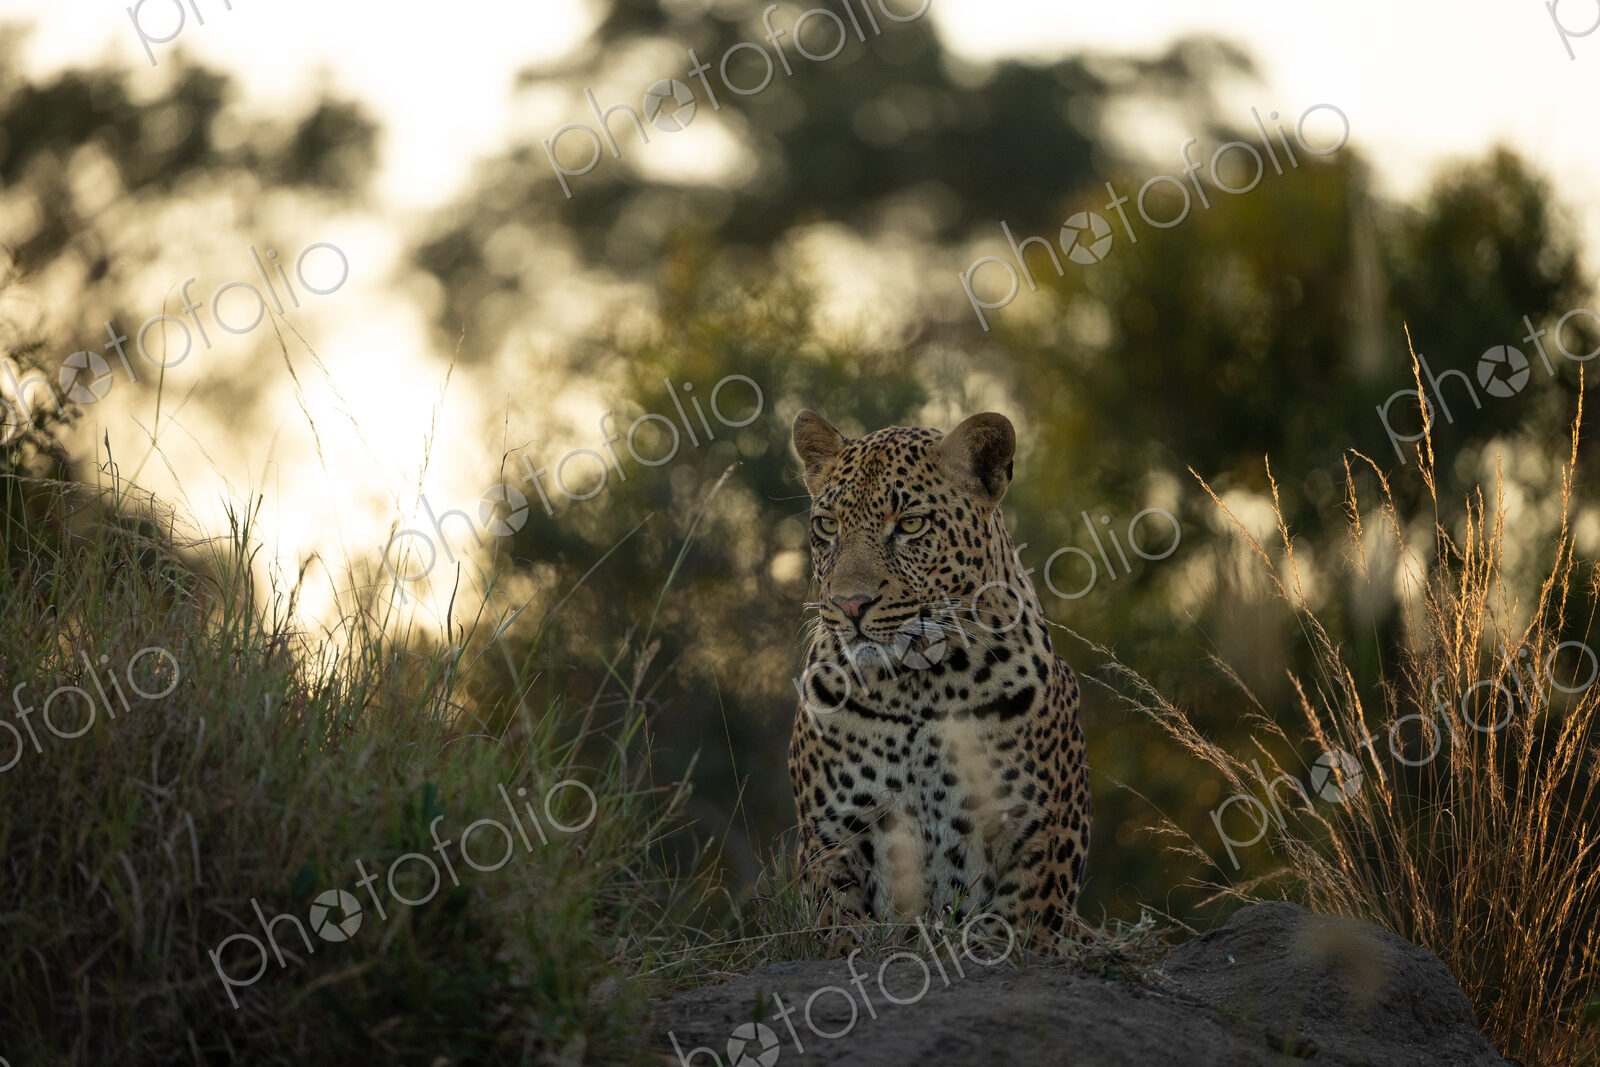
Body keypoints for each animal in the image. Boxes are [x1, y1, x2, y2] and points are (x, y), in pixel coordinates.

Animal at [787, 408, 1091, 952]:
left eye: (910, 524)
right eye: (827, 525)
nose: (848, 604)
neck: (919, 687)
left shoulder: (1042, 839)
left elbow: (1021, 929)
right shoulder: (829, 840)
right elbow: (840, 932)